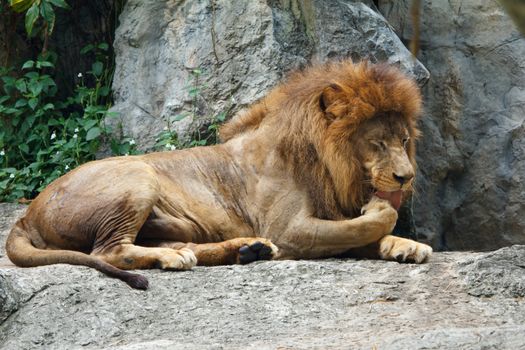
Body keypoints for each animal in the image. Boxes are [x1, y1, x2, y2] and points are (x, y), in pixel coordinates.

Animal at [6, 60, 432, 290]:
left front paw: (406, 245)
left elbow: (363, 234)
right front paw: (382, 214)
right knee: (109, 250)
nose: (406, 176)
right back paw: (181, 258)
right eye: (376, 143)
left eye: (404, 140)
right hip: (137, 174)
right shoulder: (288, 230)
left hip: (176, 219)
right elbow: (365, 225)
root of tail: (26, 215)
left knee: (180, 245)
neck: (325, 163)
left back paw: (245, 249)